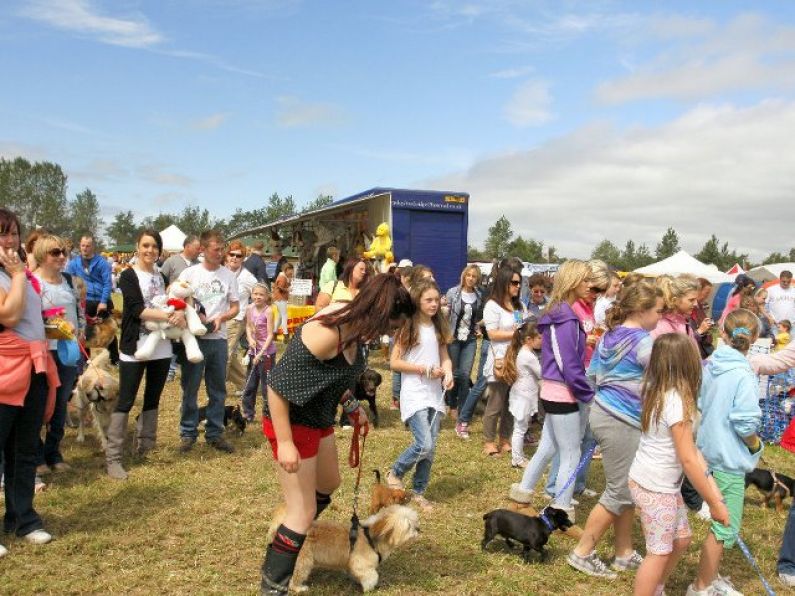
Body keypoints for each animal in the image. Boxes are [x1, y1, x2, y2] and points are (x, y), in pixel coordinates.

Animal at [268, 502, 420, 592]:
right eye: (409, 526)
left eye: (415, 522)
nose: (419, 529)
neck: (372, 537)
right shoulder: (361, 563)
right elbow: (371, 575)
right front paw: (369, 588)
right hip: (303, 562)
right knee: (295, 576)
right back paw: (299, 588)